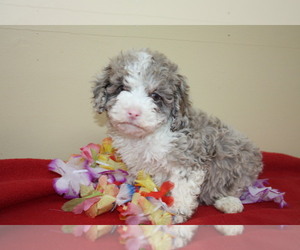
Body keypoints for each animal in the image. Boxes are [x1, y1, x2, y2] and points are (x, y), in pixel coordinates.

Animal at [93, 48, 262, 223]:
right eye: (121, 88)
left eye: (155, 96)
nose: (133, 112)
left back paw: (229, 202)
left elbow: (182, 186)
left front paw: (177, 211)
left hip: (240, 158)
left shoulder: (188, 158)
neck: (148, 135)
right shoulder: (139, 166)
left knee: (235, 185)